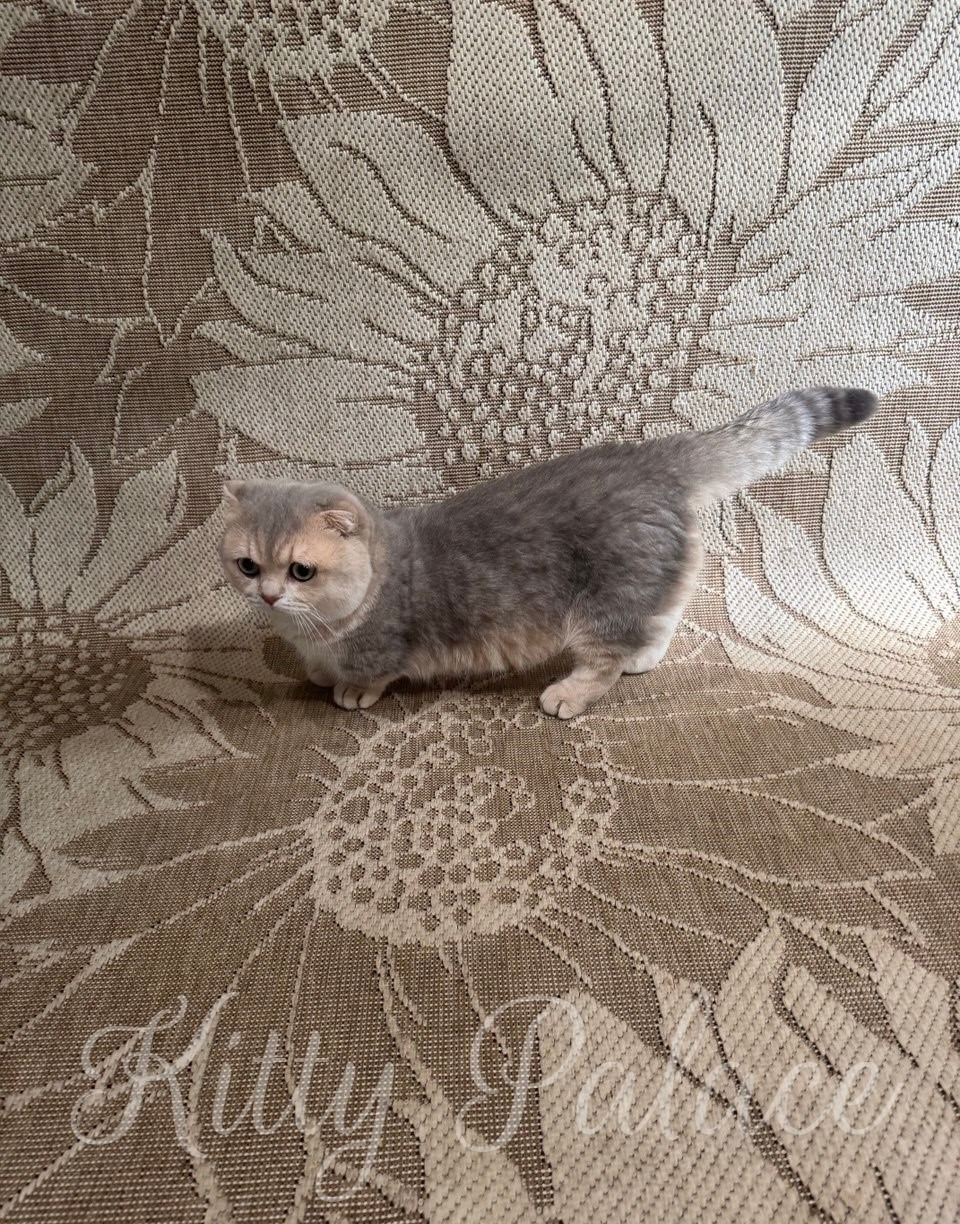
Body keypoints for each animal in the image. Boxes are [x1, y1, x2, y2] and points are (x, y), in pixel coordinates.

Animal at [220, 386, 877, 718]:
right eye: (248, 565)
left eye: (302, 570)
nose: (268, 594)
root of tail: (650, 459)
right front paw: (316, 671)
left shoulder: (383, 648)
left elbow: (368, 672)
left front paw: (348, 689)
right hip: (650, 578)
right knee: (662, 617)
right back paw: (644, 657)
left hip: (601, 604)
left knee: (605, 660)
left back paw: (570, 693)